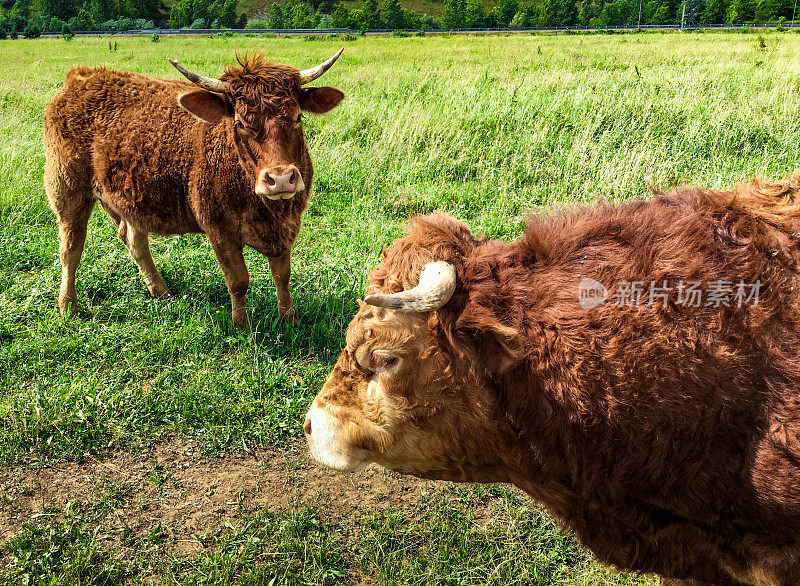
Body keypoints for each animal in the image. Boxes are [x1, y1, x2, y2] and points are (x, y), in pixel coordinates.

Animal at [43, 48, 344, 326]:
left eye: (298, 117)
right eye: (240, 123)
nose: (280, 178)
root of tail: (82, 77)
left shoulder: (287, 227)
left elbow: (282, 275)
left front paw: (289, 319)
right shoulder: (220, 230)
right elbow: (238, 280)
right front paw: (241, 325)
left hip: (128, 198)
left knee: (133, 240)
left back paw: (159, 290)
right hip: (67, 188)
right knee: (71, 249)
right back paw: (67, 306)